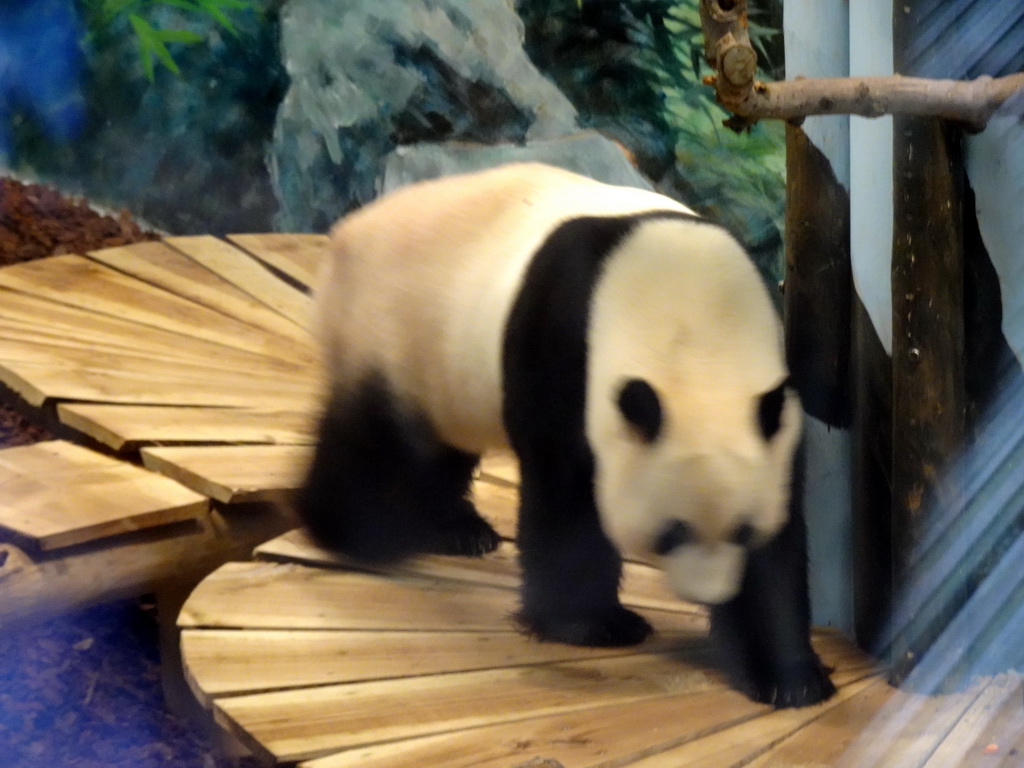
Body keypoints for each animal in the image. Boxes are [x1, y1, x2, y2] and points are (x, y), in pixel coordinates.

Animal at [294, 162, 831, 708]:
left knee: (440, 451)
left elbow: (779, 545)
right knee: (374, 442)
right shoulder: (567, 344)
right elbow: (567, 497)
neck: (694, 335)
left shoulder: (771, 412)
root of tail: (348, 229)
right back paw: (355, 530)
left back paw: (458, 531)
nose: (710, 593)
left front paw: (788, 675)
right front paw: (593, 625)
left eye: (742, 530)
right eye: (671, 532)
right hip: (390, 331)